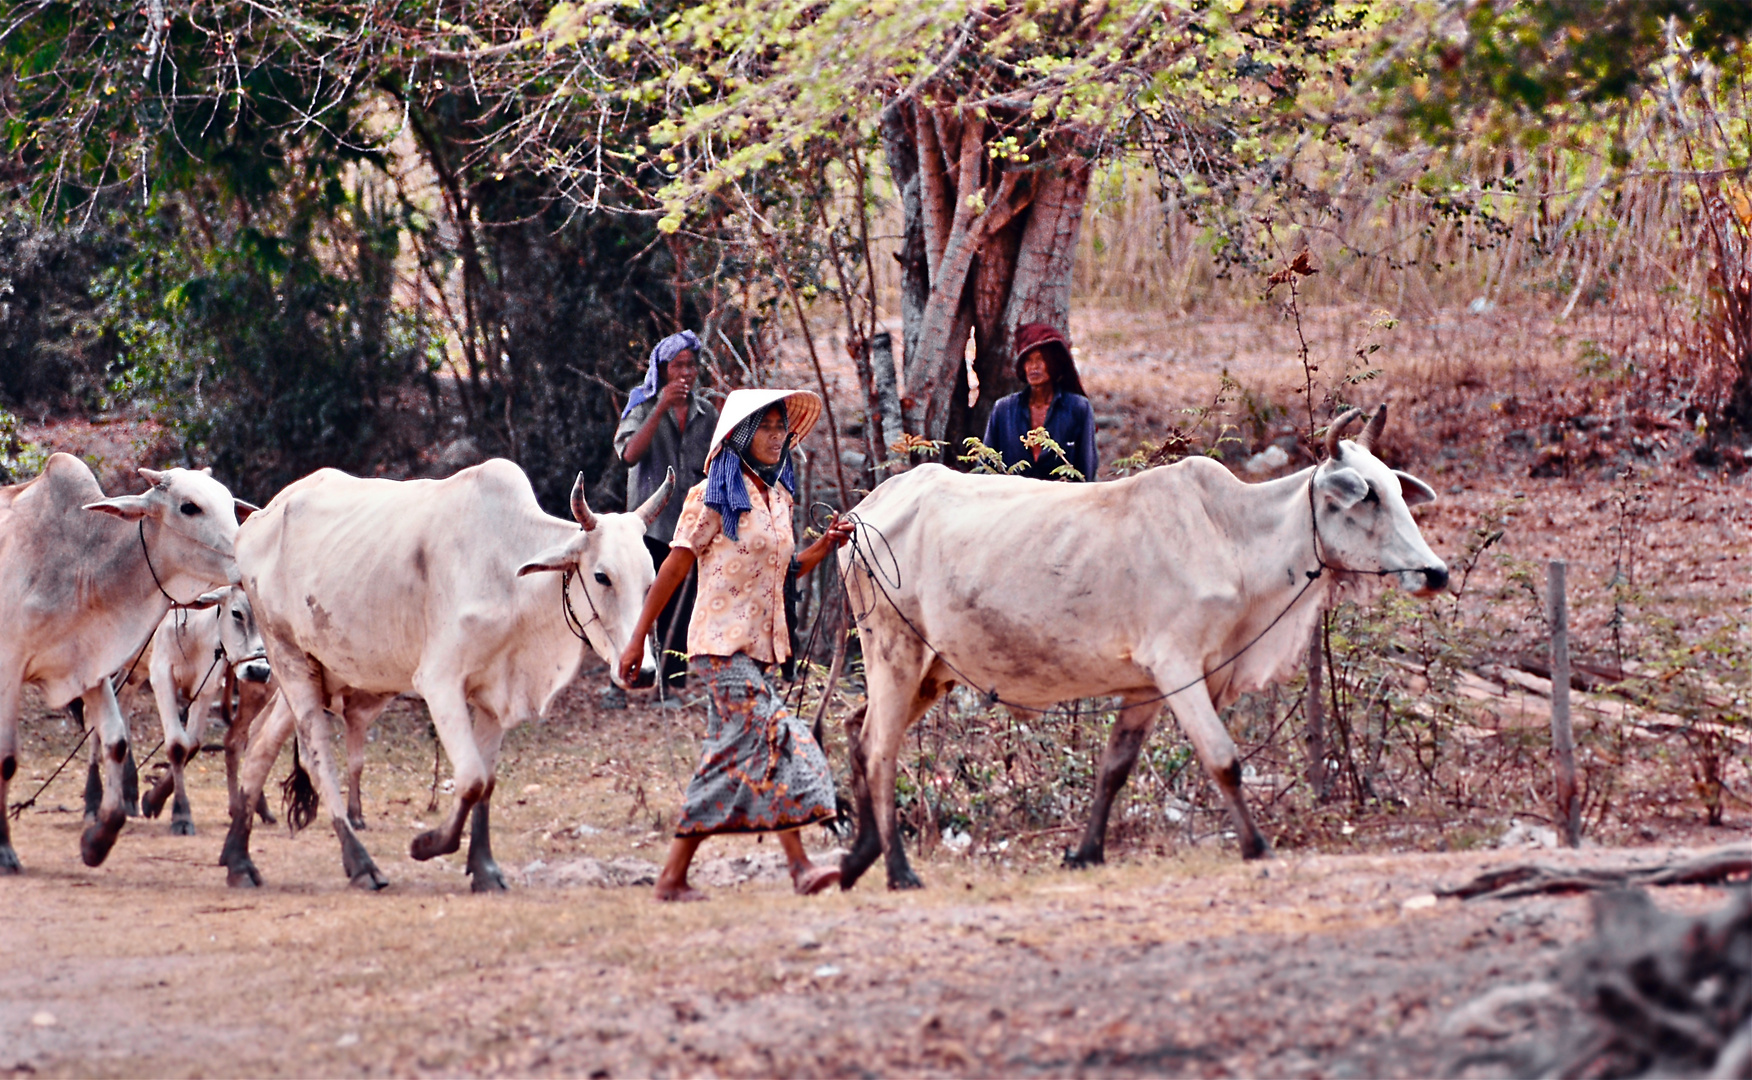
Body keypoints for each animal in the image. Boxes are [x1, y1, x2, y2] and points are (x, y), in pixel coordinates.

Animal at [0, 452, 250, 873]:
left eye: (230, 504)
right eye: (189, 507)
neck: (81, 565)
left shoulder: (90, 665)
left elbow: (115, 742)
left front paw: (98, 840)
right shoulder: (9, 670)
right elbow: (6, 759)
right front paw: (4, 849)